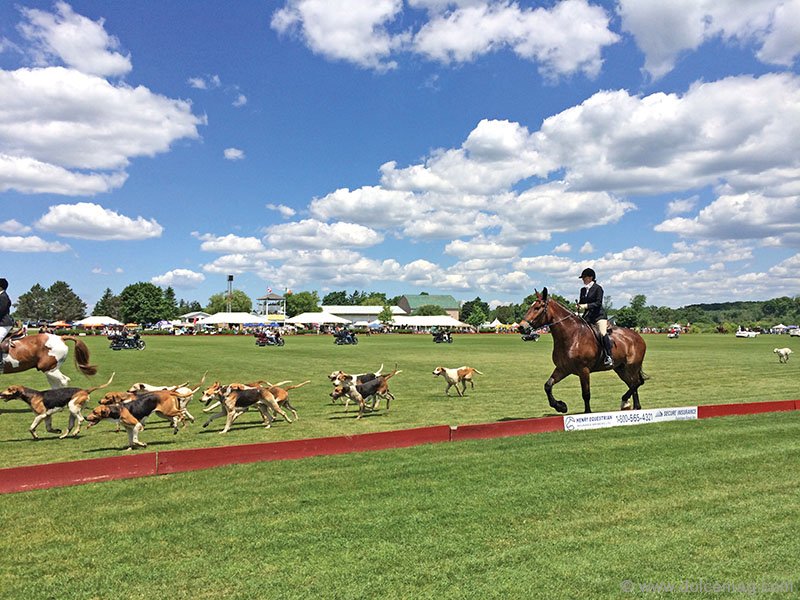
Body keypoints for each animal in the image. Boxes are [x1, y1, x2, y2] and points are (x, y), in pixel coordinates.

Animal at [520, 288, 648, 412]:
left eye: (537, 308)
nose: (521, 327)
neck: (572, 336)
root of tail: (638, 336)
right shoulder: (563, 369)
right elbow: (548, 385)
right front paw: (560, 406)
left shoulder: (584, 370)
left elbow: (586, 394)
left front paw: (587, 412)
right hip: (621, 368)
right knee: (633, 383)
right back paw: (635, 406)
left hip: (632, 366)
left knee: (636, 382)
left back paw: (625, 401)